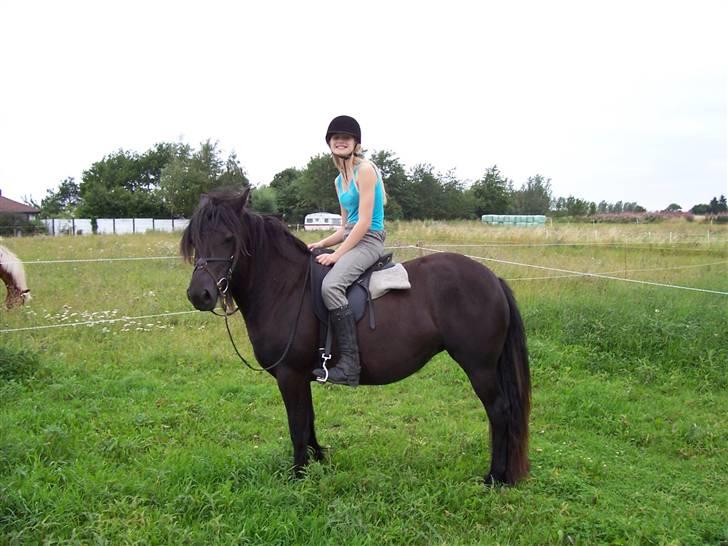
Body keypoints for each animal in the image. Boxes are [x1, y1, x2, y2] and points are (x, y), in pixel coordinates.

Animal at [182, 190, 531, 485]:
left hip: (479, 366)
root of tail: (493, 279)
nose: (200, 294)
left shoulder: (289, 375)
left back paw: (496, 478)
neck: (287, 288)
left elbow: (297, 425)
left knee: (499, 412)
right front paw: (318, 460)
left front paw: (298, 475)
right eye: (196, 239)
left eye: (229, 238)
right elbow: (308, 420)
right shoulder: (302, 377)